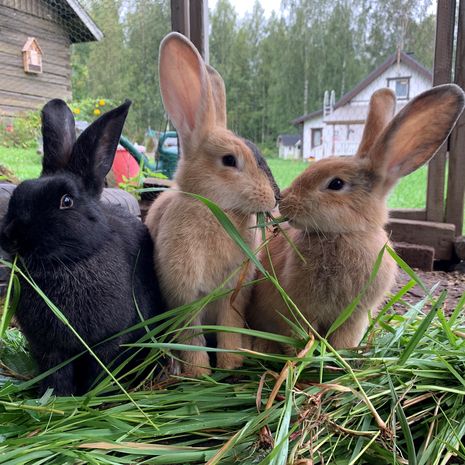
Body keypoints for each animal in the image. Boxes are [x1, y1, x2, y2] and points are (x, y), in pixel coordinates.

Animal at [0, 99, 163, 396]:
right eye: (19, 192)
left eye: (66, 201)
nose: (11, 236)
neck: (72, 261)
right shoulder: (50, 349)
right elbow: (57, 374)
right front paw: (56, 397)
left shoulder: (107, 342)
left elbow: (98, 371)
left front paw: (93, 396)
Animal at [145, 32, 279, 377]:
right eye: (229, 160)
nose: (276, 197)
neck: (216, 210)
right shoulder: (185, 296)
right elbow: (191, 337)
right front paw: (200, 374)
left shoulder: (233, 295)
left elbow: (229, 328)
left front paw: (232, 364)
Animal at [247, 84, 465, 351]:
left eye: (336, 184)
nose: (283, 200)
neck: (343, 235)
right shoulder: (299, 312)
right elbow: (300, 336)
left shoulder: (354, 317)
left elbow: (342, 340)